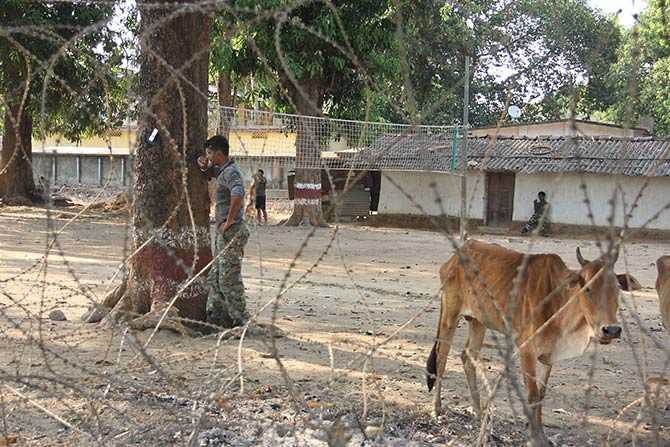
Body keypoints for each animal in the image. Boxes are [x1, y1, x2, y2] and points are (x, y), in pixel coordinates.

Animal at [428, 243, 628, 446]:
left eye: (617, 288)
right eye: (587, 288)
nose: (611, 330)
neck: (558, 302)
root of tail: (453, 258)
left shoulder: (549, 356)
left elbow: (541, 394)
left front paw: (543, 436)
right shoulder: (526, 350)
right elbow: (532, 395)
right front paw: (534, 438)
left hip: (478, 322)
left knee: (468, 357)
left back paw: (479, 413)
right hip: (450, 317)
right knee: (441, 358)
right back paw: (436, 408)